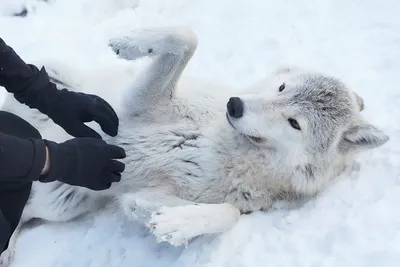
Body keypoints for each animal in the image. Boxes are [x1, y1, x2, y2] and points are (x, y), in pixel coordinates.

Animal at [0, 26, 388, 266]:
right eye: (281, 88)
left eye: (295, 122)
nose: (235, 105)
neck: (222, 139)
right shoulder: (136, 106)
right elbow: (187, 36)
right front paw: (129, 42)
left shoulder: (147, 194)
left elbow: (227, 215)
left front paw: (177, 223)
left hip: (63, 202)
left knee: (24, 212)